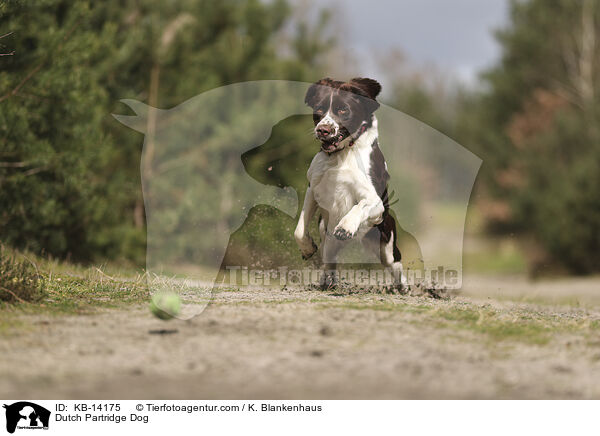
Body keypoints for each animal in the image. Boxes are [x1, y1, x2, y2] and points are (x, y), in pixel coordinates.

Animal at [292, 78, 406, 290]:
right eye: (319, 109)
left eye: (343, 109)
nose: (323, 130)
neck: (341, 154)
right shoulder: (313, 188)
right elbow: (299, 230)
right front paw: (307, 249)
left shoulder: (375, 201)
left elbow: (359, 205)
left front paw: (345, 227)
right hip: (326, 235)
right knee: (329, 259)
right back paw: (326, 282)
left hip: (385, 239)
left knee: (395, 263)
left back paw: (402, 288)